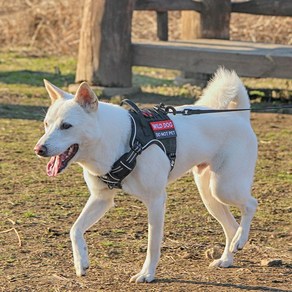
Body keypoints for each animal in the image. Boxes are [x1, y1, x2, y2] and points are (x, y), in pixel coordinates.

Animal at [34, 68, 258, 282]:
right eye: (46, 124)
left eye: (66, 126)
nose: (39, 149)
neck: (119, 141)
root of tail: (238, 116)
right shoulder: (101, 198)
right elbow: (75, 229)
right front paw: (81, 262)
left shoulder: (156, 201)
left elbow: (152, 245)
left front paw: (147, 274)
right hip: (210, 195)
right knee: (231, 226)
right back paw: (228, 256)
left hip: (224, 188)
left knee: (251, 204)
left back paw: (240, 240)